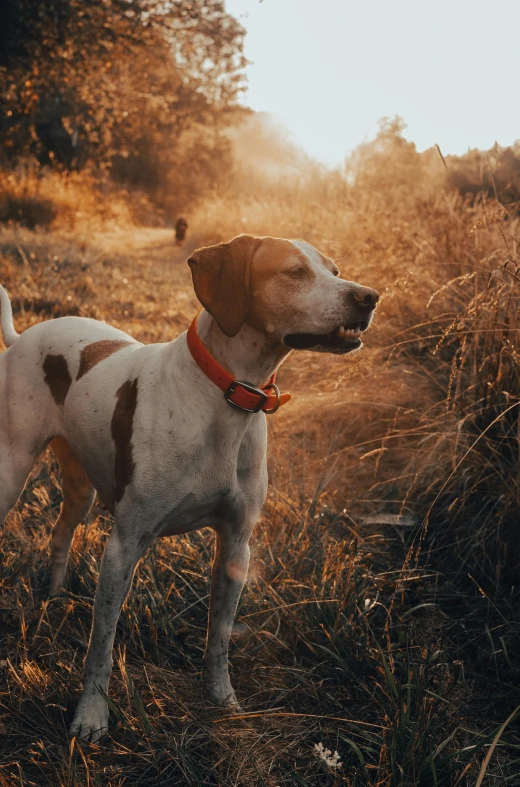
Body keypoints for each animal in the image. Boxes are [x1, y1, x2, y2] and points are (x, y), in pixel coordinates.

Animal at [2, 234, 380, 740]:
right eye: (294, 272)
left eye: (335, 270)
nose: (369, 296)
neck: (226, 399)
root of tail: (24, 336)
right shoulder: (123, 547)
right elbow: (102, 646)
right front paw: (92, 714)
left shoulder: (237, 546)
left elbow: (218, 637)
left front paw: (221, 698)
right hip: (11, 473)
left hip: (81, 488)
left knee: (61, 534)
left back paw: (56, 597)